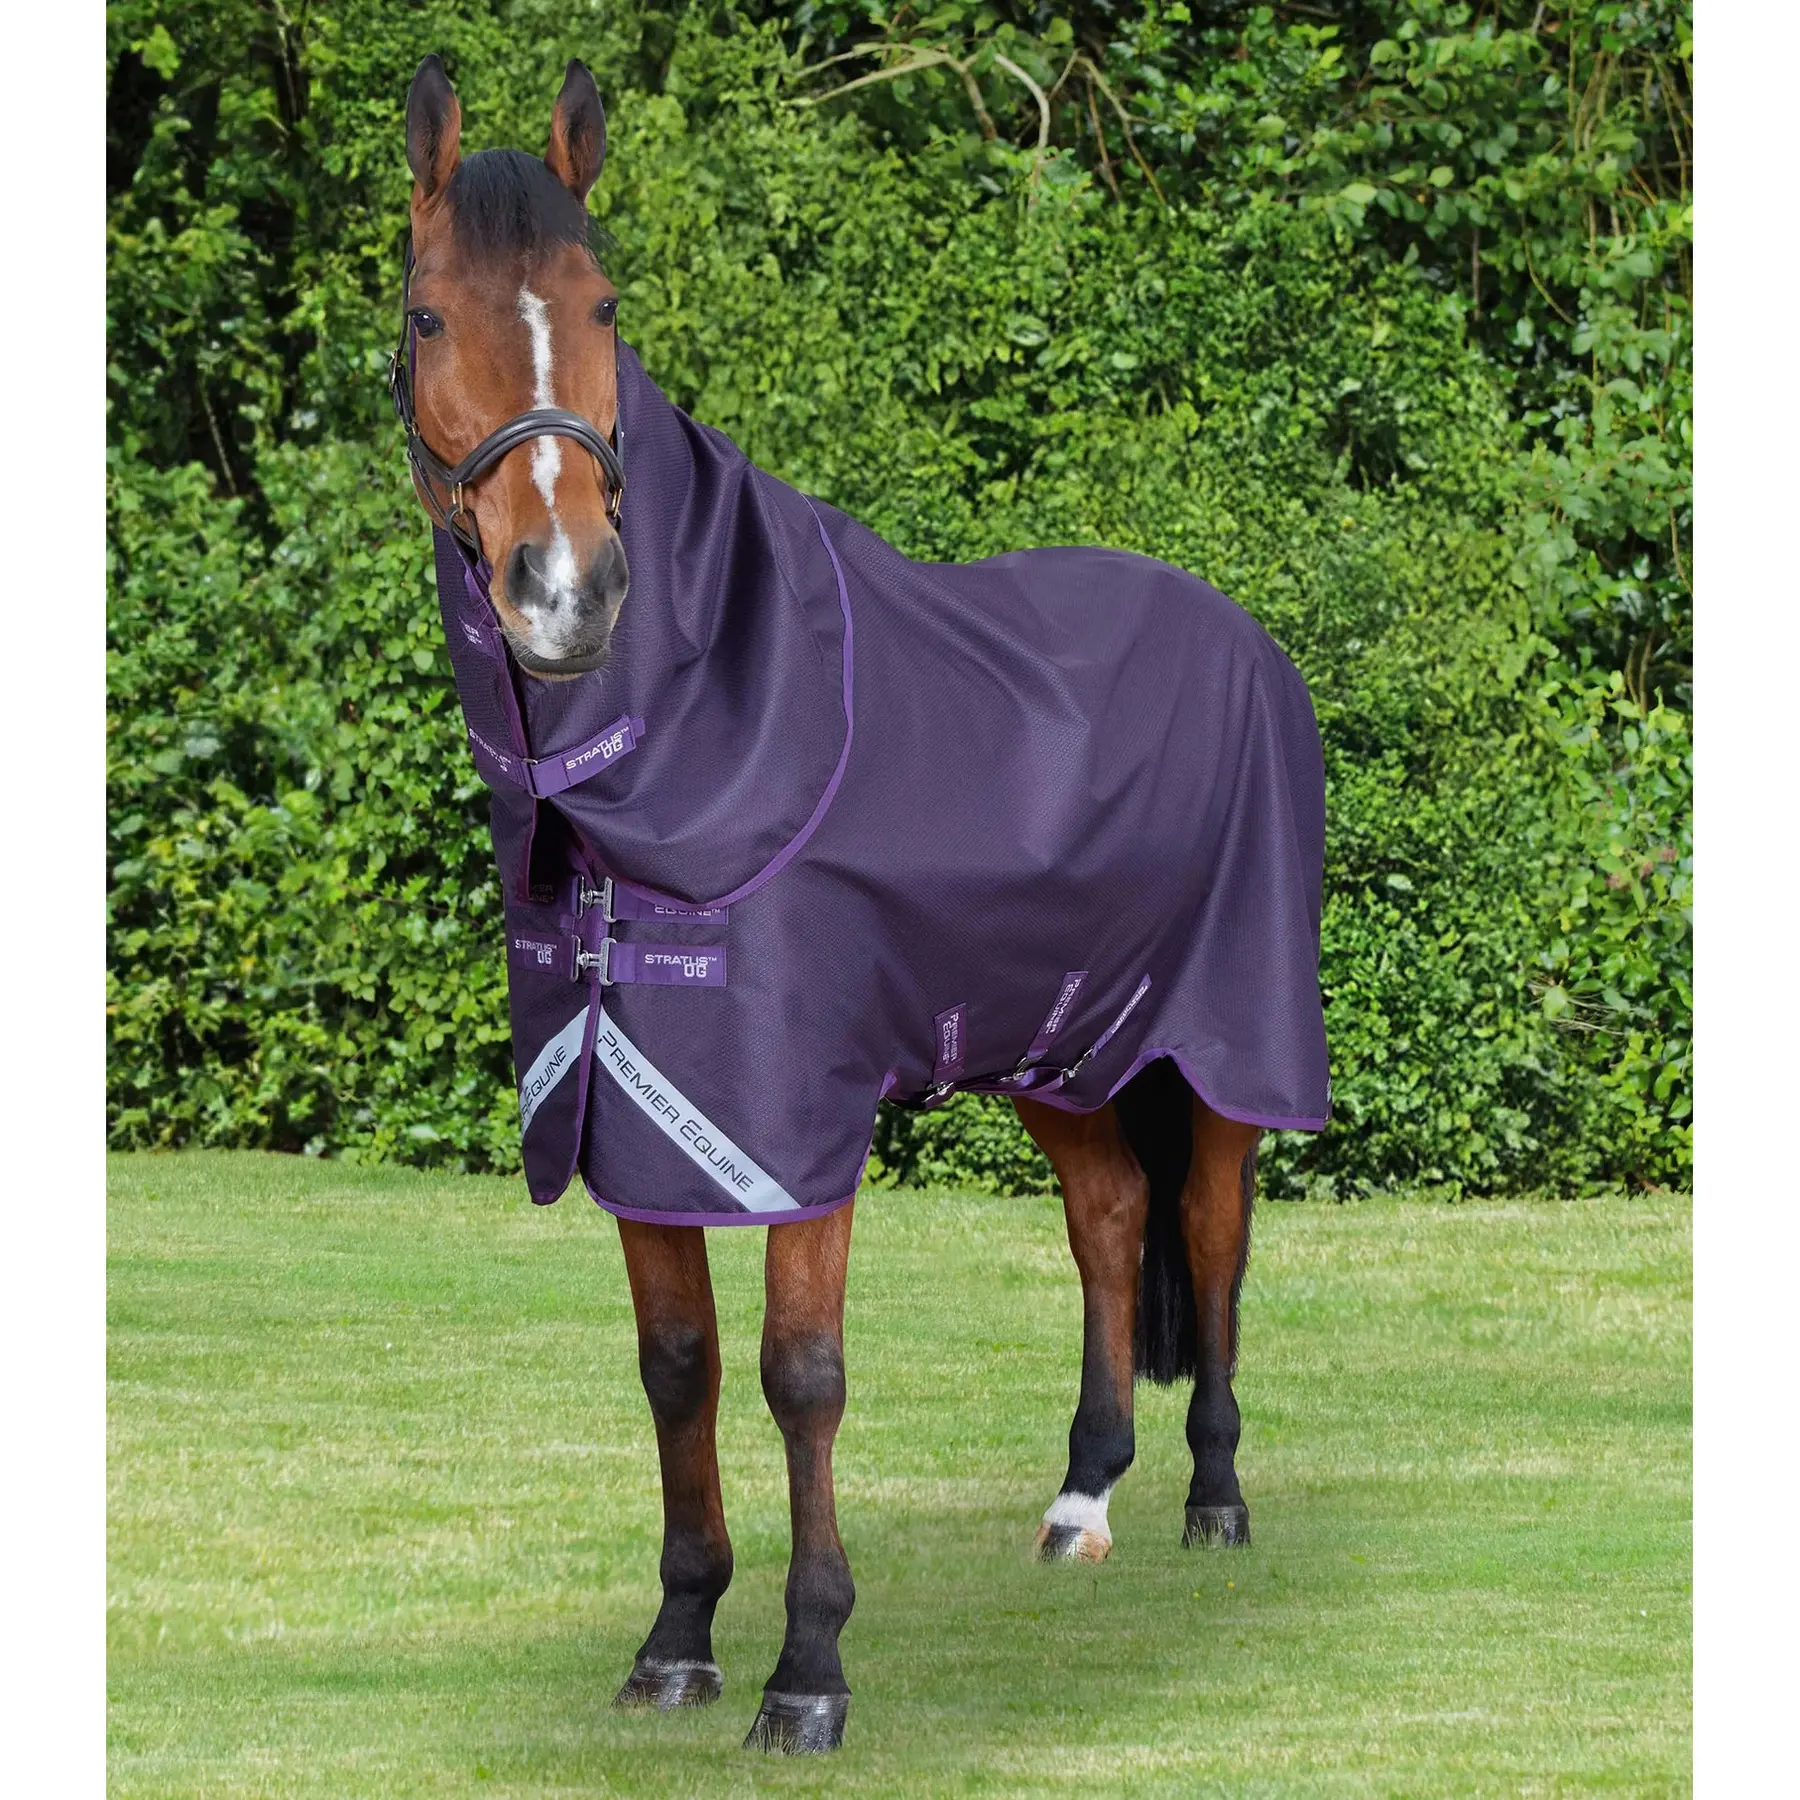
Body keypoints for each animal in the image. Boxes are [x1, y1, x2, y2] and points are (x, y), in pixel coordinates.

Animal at [391, 54, 1327, 1754]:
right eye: (432, 315)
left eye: (603, 301)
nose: (565, 589)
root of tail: (1241, 634)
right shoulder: (636, 1105)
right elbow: (677, 1367)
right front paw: (677, 1638)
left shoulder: (785, 1118)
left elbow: (799, 1372)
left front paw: (808, 1670)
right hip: (1058, 1044)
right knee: (1109, 1220)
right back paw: (1083, 1502)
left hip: (1219, 1038)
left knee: (1213, 1230)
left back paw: (1215, 1500)